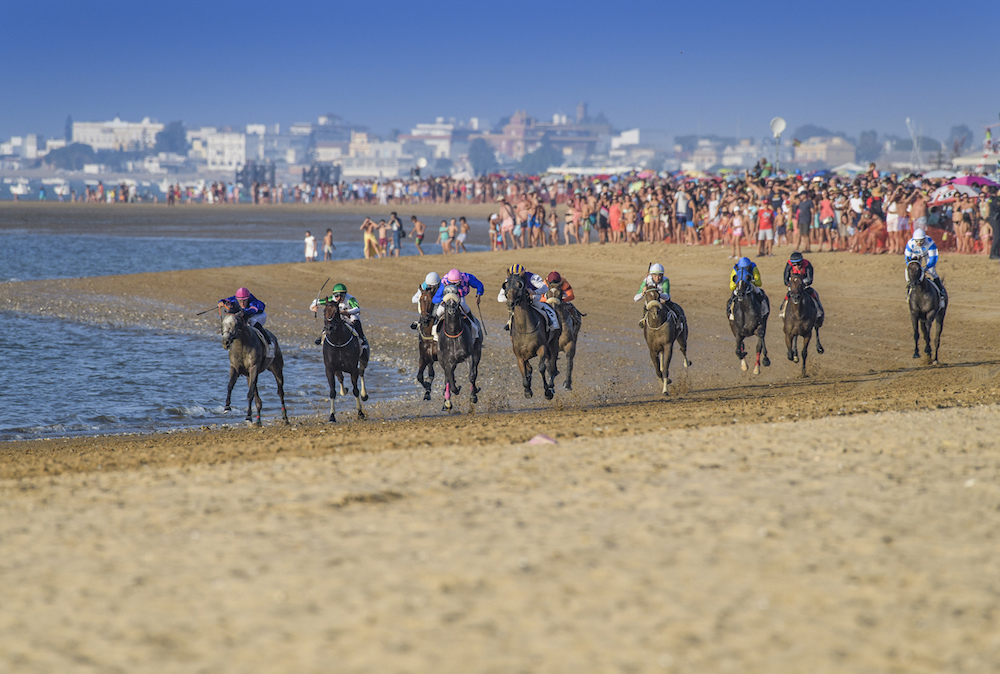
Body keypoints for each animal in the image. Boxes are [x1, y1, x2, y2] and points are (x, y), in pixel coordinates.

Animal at [504, 270, 560, 400]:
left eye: (520, 285)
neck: (524, 328)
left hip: (554, 343)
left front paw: (547, 392)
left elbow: (542, 367)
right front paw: (527, 390)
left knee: (552, 366)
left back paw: (551, 385)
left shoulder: (542, 348)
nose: (510, 303)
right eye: (506, 285)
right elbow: (524, 370)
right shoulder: (519, 354)